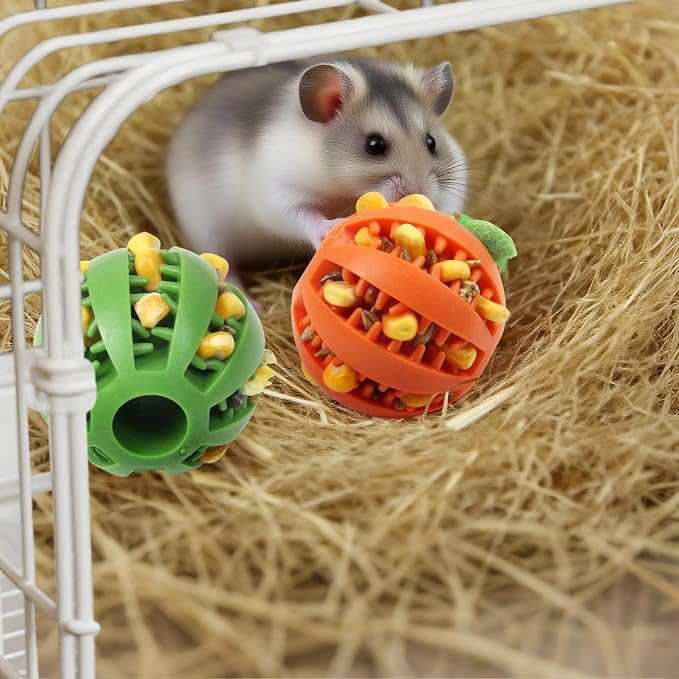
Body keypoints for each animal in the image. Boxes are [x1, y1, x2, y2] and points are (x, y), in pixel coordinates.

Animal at [165, 57, 468, 303]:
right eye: (374, 145)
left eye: (432, 142)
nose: (420, 192)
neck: (338, 187)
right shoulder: (278, 195)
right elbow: (304, 215)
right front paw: (332, 227)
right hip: (208, 233)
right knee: (223, 268)